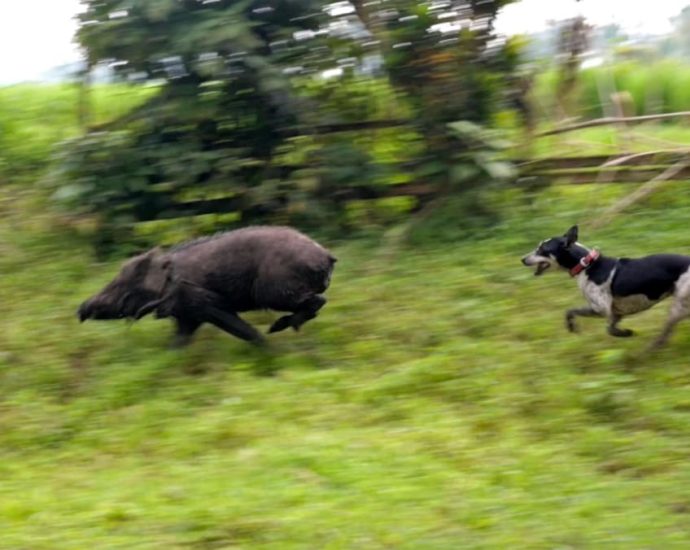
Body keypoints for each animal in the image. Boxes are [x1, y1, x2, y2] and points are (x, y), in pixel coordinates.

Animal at [520, 225, 688, 350]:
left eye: (542, 249)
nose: (522, 259)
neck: (587, 265)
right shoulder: (615, 313)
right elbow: (571, 312)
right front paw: (572, 327)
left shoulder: (602, 309)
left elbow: (607, 329)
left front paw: (627, 333)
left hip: (678, 308)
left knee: (665, 333)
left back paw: (649, 350)